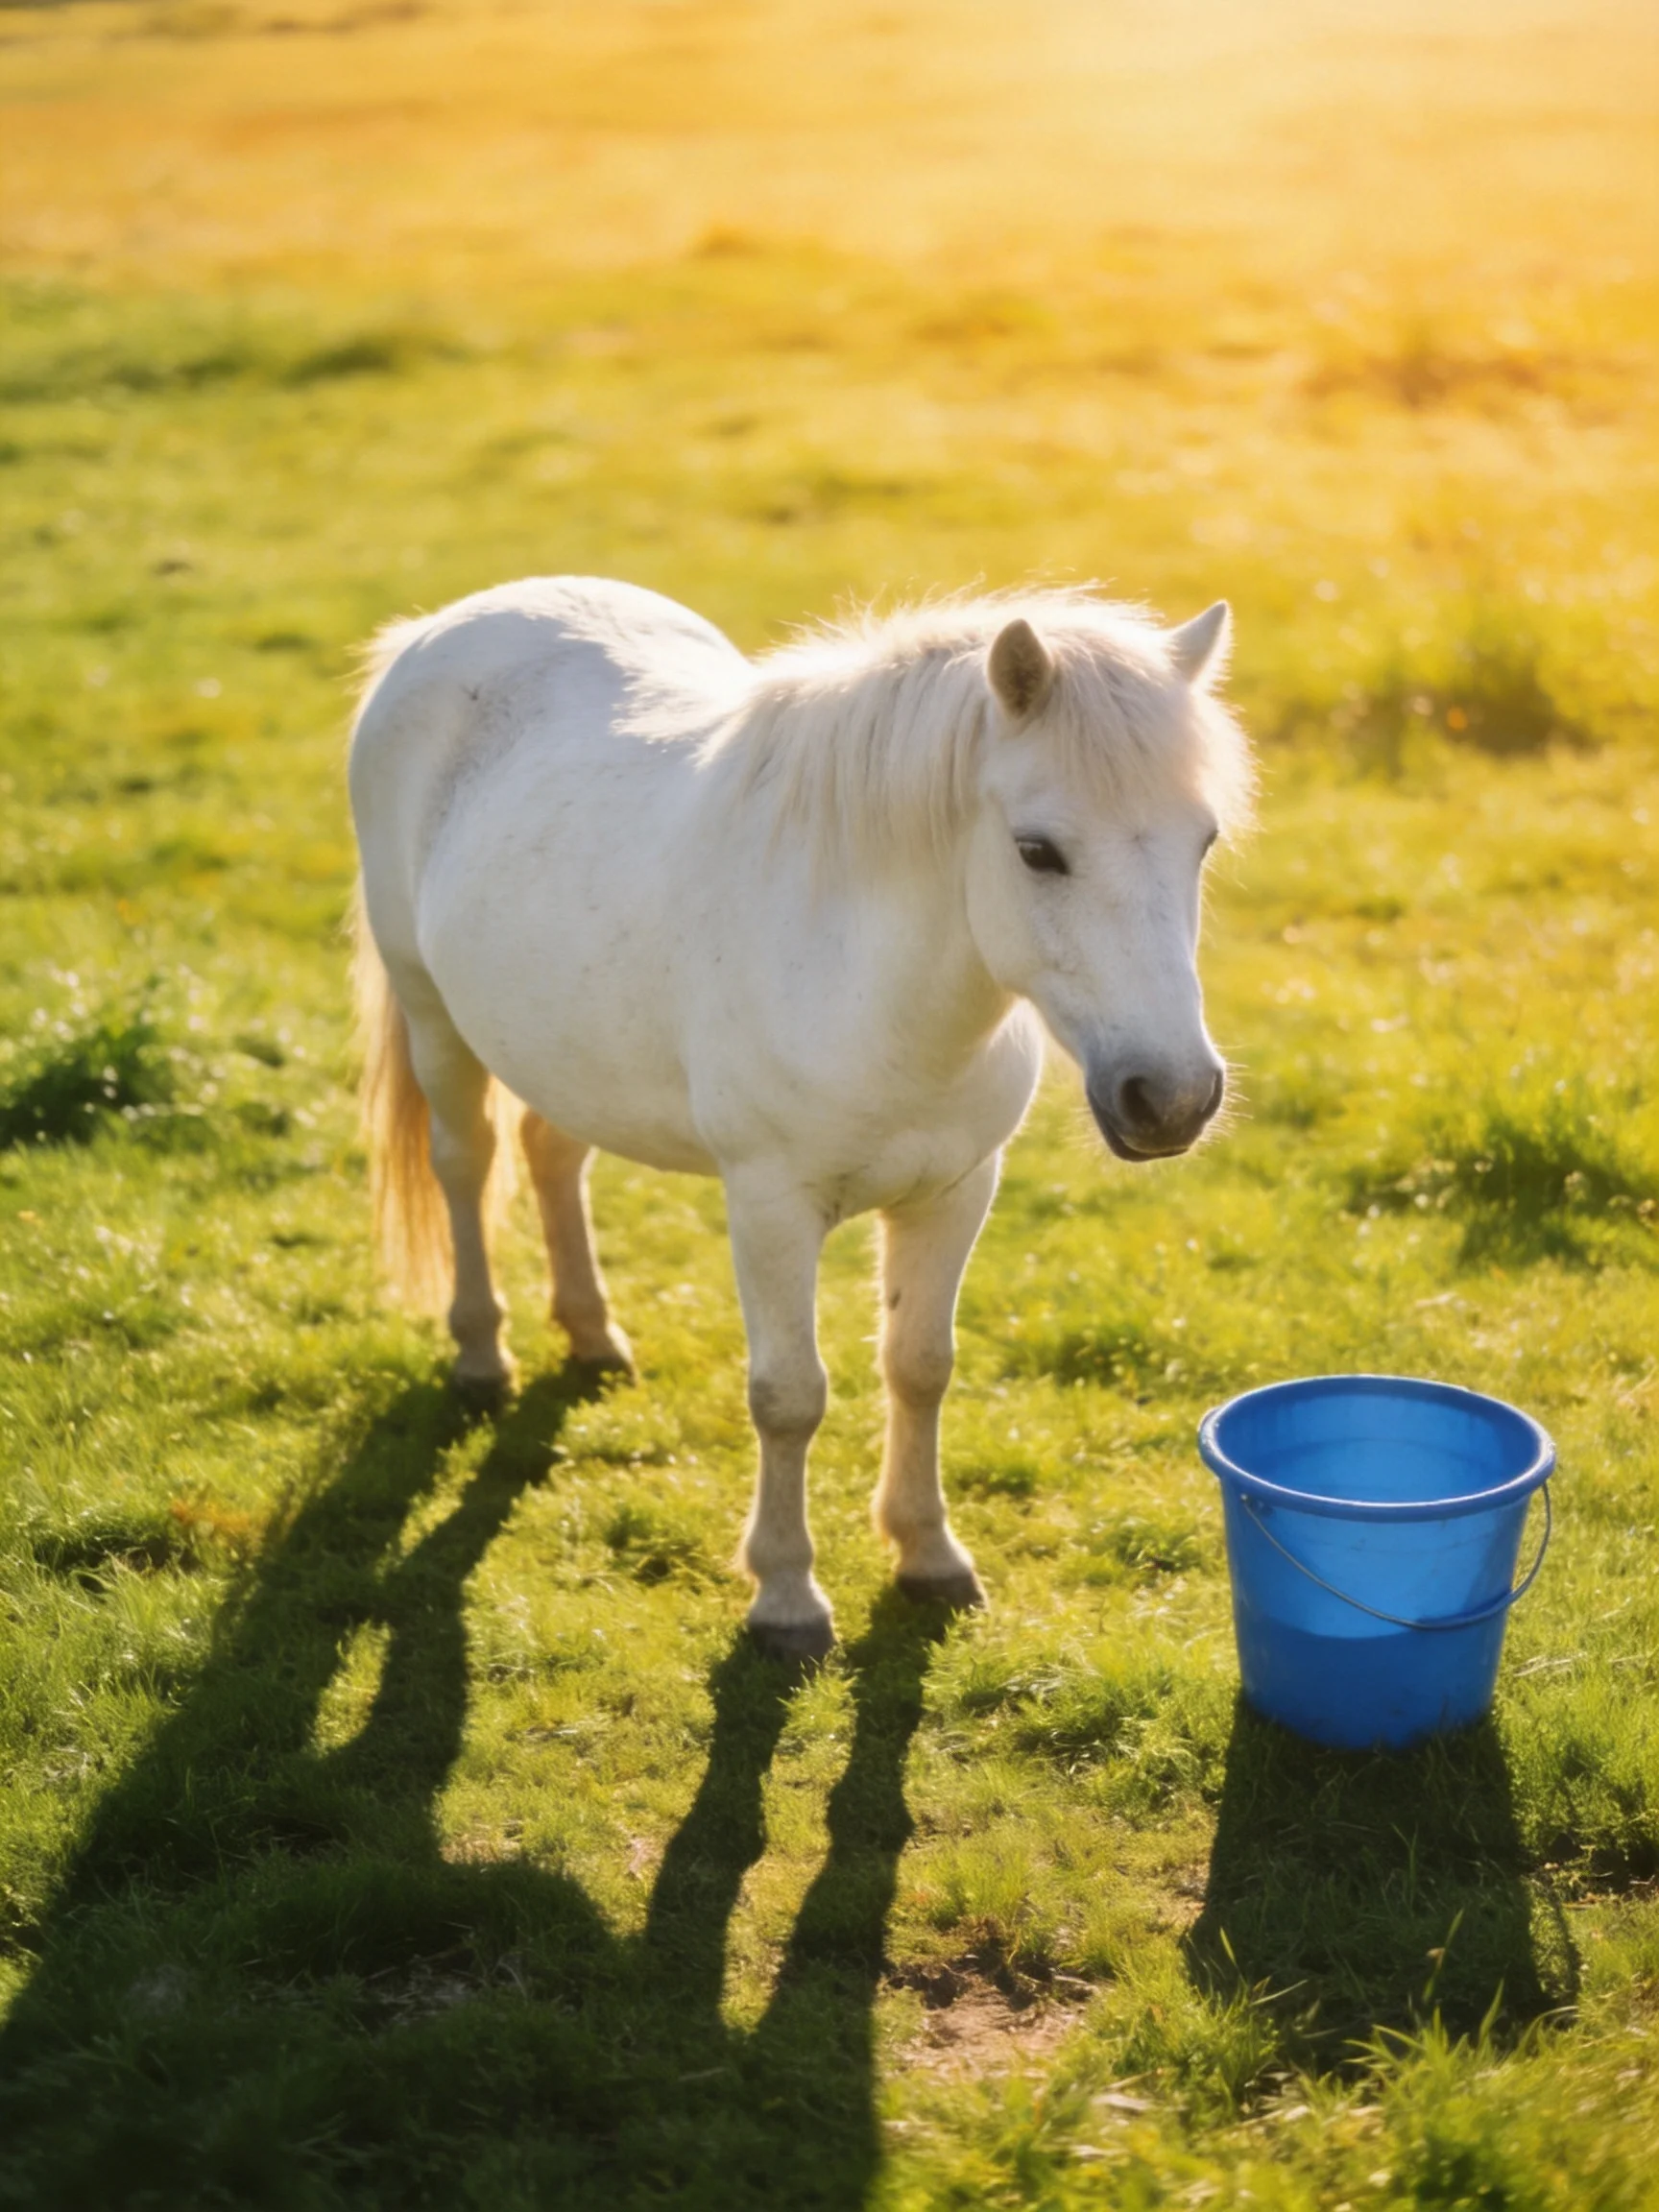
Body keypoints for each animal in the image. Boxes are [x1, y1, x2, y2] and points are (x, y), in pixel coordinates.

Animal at [349, 577, 1252, 1659]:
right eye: (1039, 852)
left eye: (1204, 841)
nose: (1174, 1098)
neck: (870, 983)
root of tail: (442, 626)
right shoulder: (771, 1207)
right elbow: (789, 1397)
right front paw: (785, 1598)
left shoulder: (954, 1193)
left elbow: (920, 1367)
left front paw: (929, 1557)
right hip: (431, 1011)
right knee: (467, 1162)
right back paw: (483, 1358)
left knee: (552, 1156)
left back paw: (594, 1338)